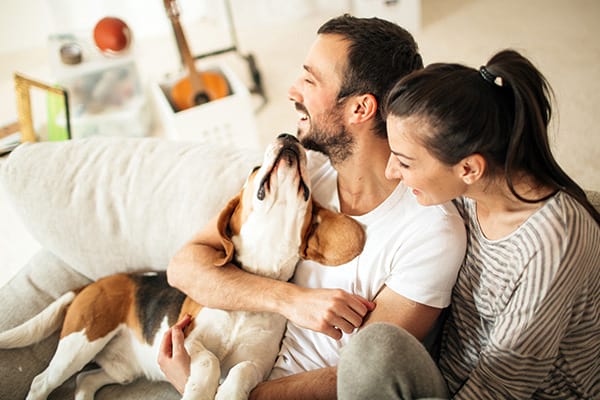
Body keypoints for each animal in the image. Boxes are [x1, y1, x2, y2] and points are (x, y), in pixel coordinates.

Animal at [1, 134, 366, 400]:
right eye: (254, 168)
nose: (287, 136)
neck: (252, 285)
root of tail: (93, 284)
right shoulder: (186, 337)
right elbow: (209, 360)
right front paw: (200, 389)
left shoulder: (258, 364)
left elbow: (240, 371)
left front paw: (229, 394)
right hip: (82, 340)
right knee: (42, 382)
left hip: (119, 368)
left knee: (85, 381)